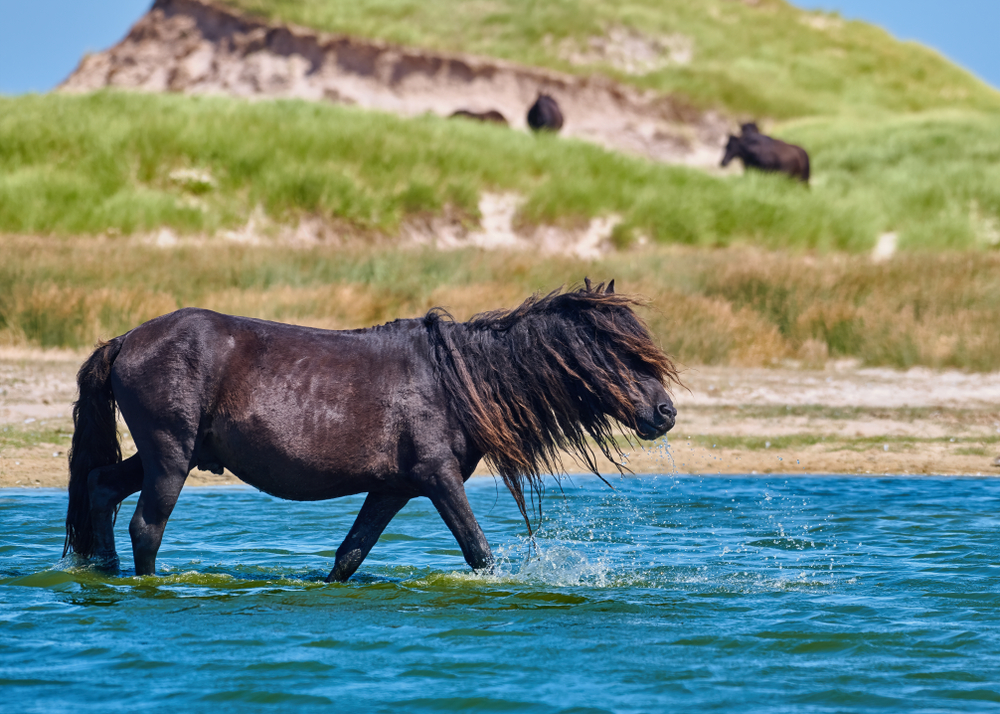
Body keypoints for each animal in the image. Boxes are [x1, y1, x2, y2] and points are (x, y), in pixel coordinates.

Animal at [64, 280, 679, 582]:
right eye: (619, 351)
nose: (666, 411)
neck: (454, 380)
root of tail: (127, 339)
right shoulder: (437, 478)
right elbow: (478, 551)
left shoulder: (392, 489)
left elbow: (349, 556)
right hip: (170, 457)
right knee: (146, 526)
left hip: (168, 455)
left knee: (100, 487)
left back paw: (101, 572)